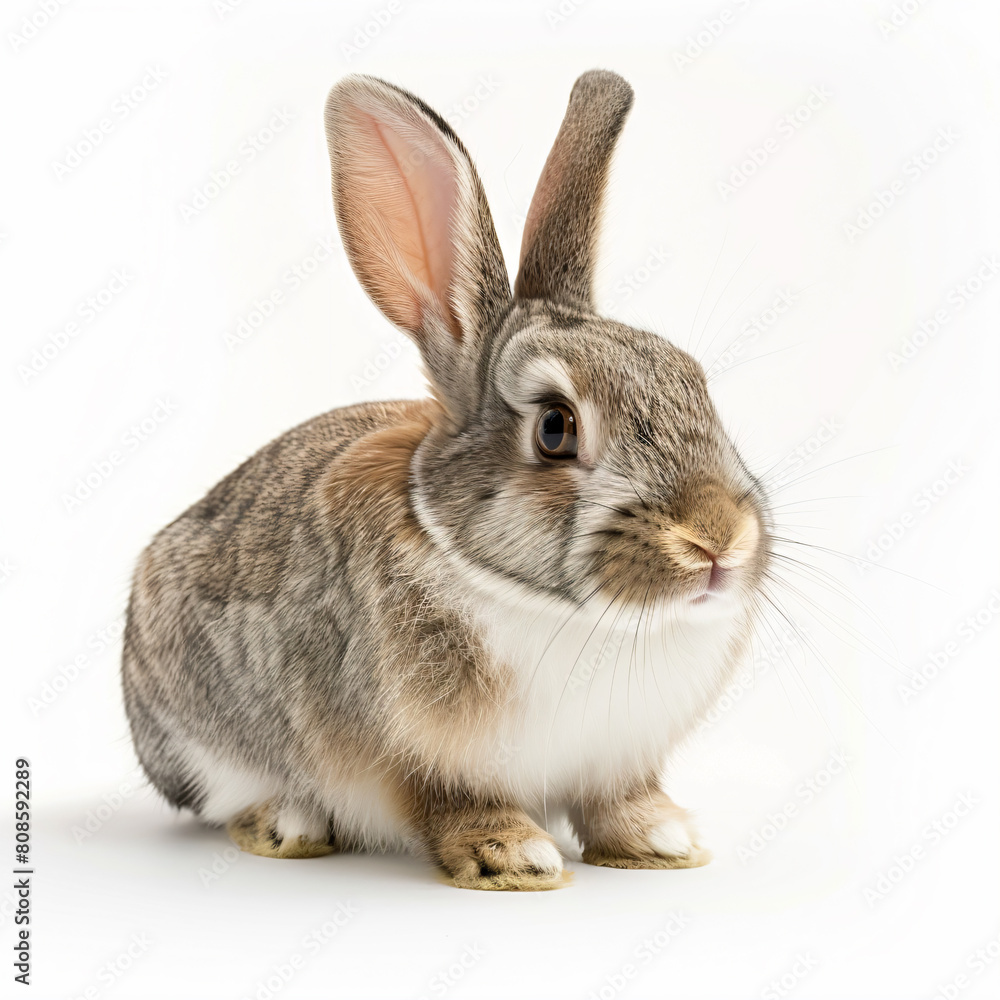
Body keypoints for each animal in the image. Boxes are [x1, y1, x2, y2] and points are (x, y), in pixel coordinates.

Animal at [122, 69, 771, 890]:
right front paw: (514, 856)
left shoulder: (618, 759)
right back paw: (288, 824)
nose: (718, 540)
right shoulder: (414, 754)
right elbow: (449, 803)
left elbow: (617, 800)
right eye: (555, 427)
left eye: (696, 382)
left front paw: (661, 841)